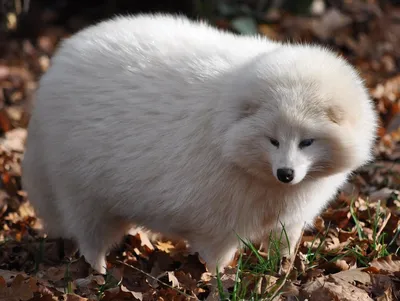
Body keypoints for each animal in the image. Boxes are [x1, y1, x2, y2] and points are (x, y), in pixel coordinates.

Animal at [21, 12, 378, 274]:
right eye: (273, 140)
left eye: (307, 142)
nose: (286, 174)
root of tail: (58, 61)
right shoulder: (217, 222)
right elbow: (216, 259)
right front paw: (220, 283)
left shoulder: (290, 220)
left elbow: (284, 249)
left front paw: (281, 274)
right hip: (83, 194)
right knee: (89, 240)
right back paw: (98, 273)